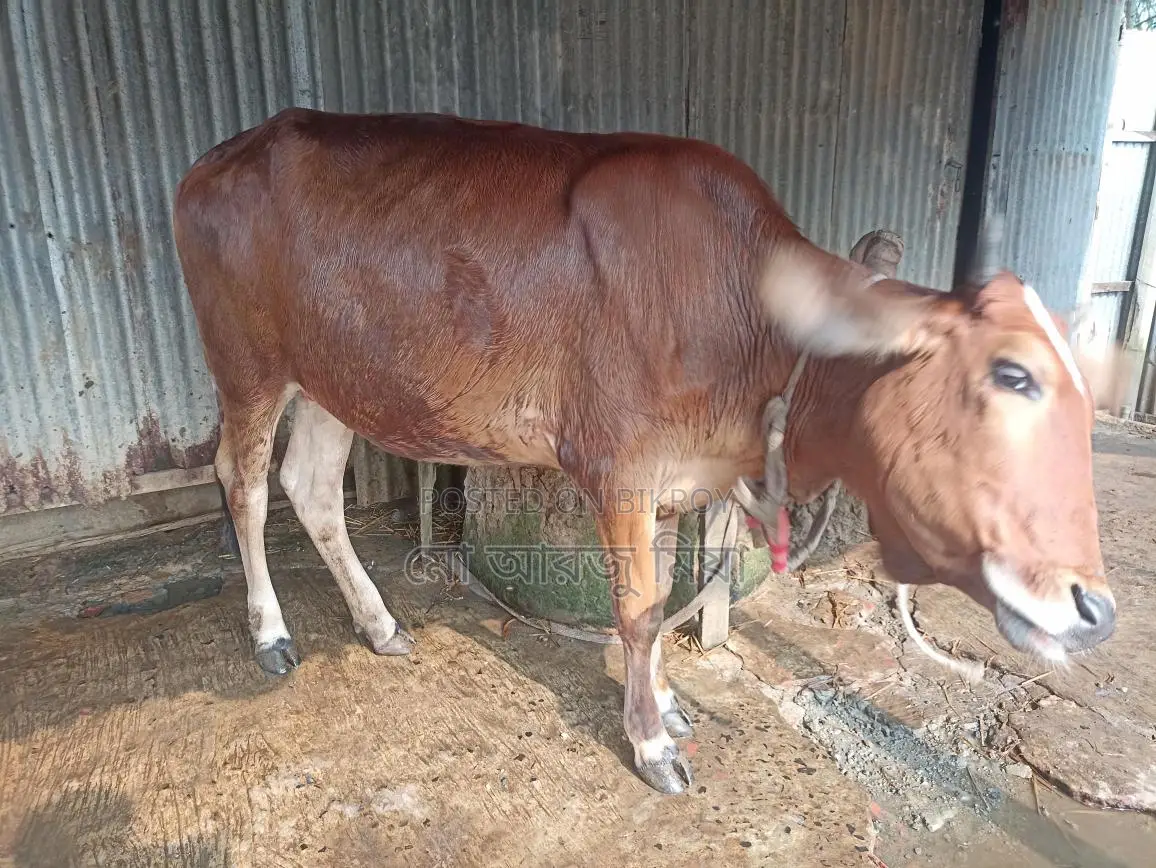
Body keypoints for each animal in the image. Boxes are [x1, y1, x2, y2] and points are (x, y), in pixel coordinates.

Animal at [172, 108, 1115, 795]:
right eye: (1012, 376)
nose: (1096, 608)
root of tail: (220, 154)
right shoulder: (617, 464)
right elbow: (635, 609)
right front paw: (653, 744)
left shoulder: (674, 479)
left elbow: (660, 600)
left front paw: (664, 700)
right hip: (246, 363)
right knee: (243, 483)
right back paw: (271, 633)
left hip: (336, 377)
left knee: (312, 486)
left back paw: (379, 624)